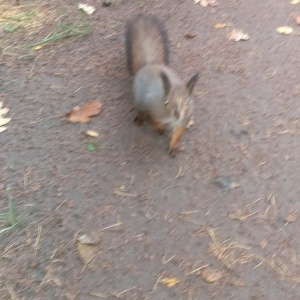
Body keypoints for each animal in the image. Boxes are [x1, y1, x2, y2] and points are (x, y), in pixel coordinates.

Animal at [125, 14, 199, 156]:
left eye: (189, 102)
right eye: (166, 101)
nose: (177, 114)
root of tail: (149, 65)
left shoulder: (184, 120)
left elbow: (178, 133)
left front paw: (174, 145)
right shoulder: (153, 106)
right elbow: (154, 119)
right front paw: (160, 127)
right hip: (139, 99)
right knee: (141, 110)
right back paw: (140, 118)